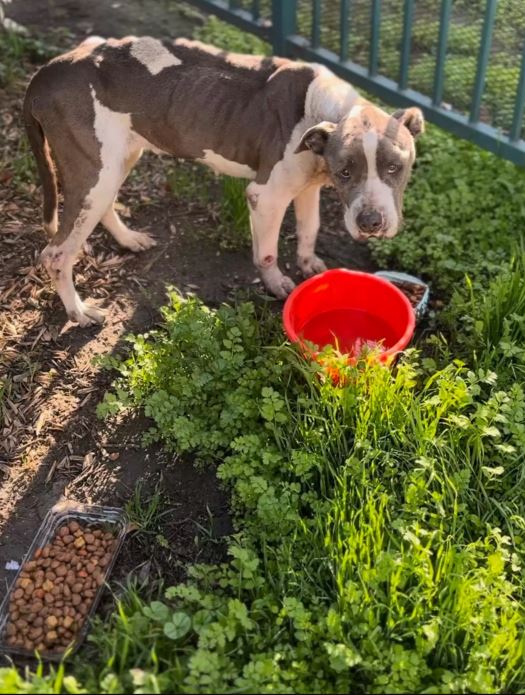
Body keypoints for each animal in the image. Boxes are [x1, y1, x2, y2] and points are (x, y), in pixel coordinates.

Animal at [24, 33, 424, 326]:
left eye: (395, 167)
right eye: (346, 171)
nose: (371, 223)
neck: (328, 111)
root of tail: (47, 71)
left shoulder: (306, 187)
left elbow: (309, 228)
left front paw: (309, 264)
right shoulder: (266, 196)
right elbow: (266, 252)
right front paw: (276, 284)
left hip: (114, 163)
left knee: (102, 206)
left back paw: (128, 239)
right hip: (93, 169)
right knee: (55, 254)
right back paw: (78, 312)